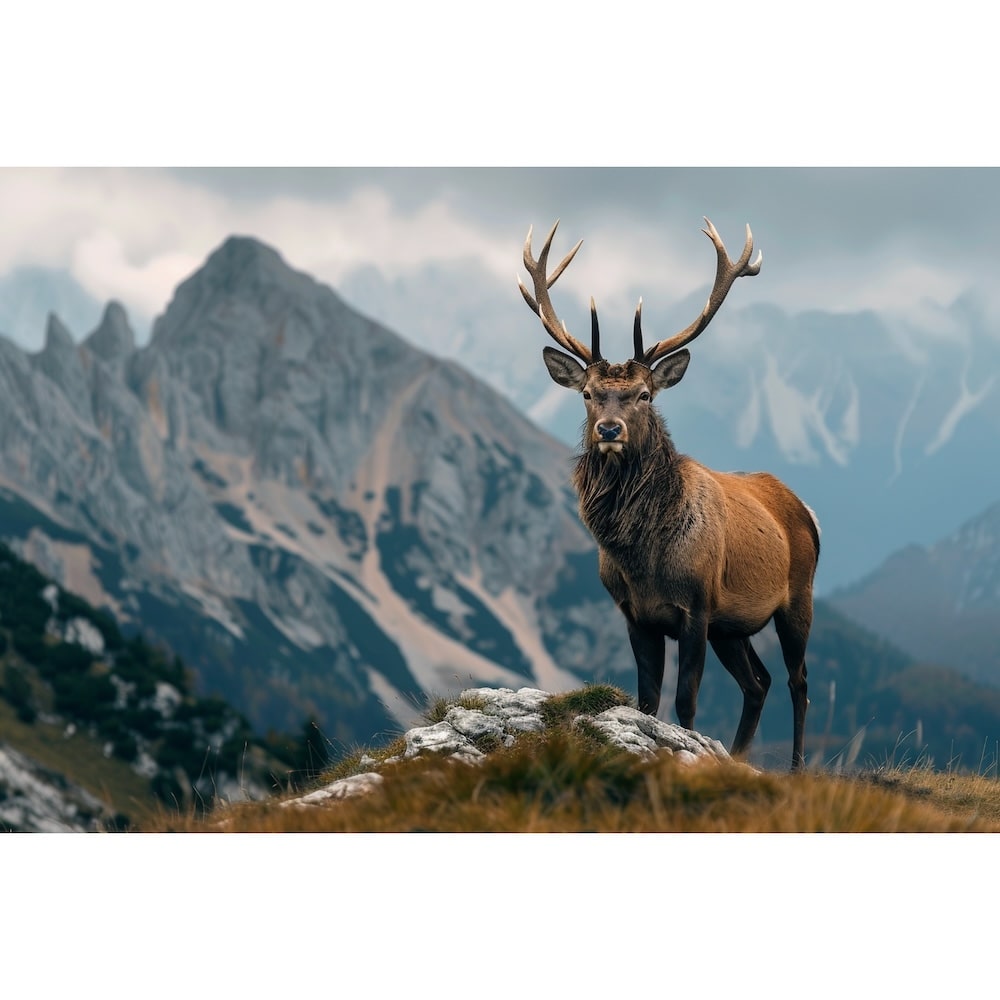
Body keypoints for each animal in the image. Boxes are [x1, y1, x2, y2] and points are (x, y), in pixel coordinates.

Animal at [519, 218, 820, 770]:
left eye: (643, 395)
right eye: (588, 394)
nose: (609, 430)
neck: (644, 562)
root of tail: (805, 510)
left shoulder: (697, 607)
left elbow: (685, 701)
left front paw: (692, 752)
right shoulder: (636, 614)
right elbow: (648, 699)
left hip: (797, 597)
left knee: (798, 681)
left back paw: (794, 768)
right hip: (733, 626)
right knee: (759, 682)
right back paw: (739, 756)